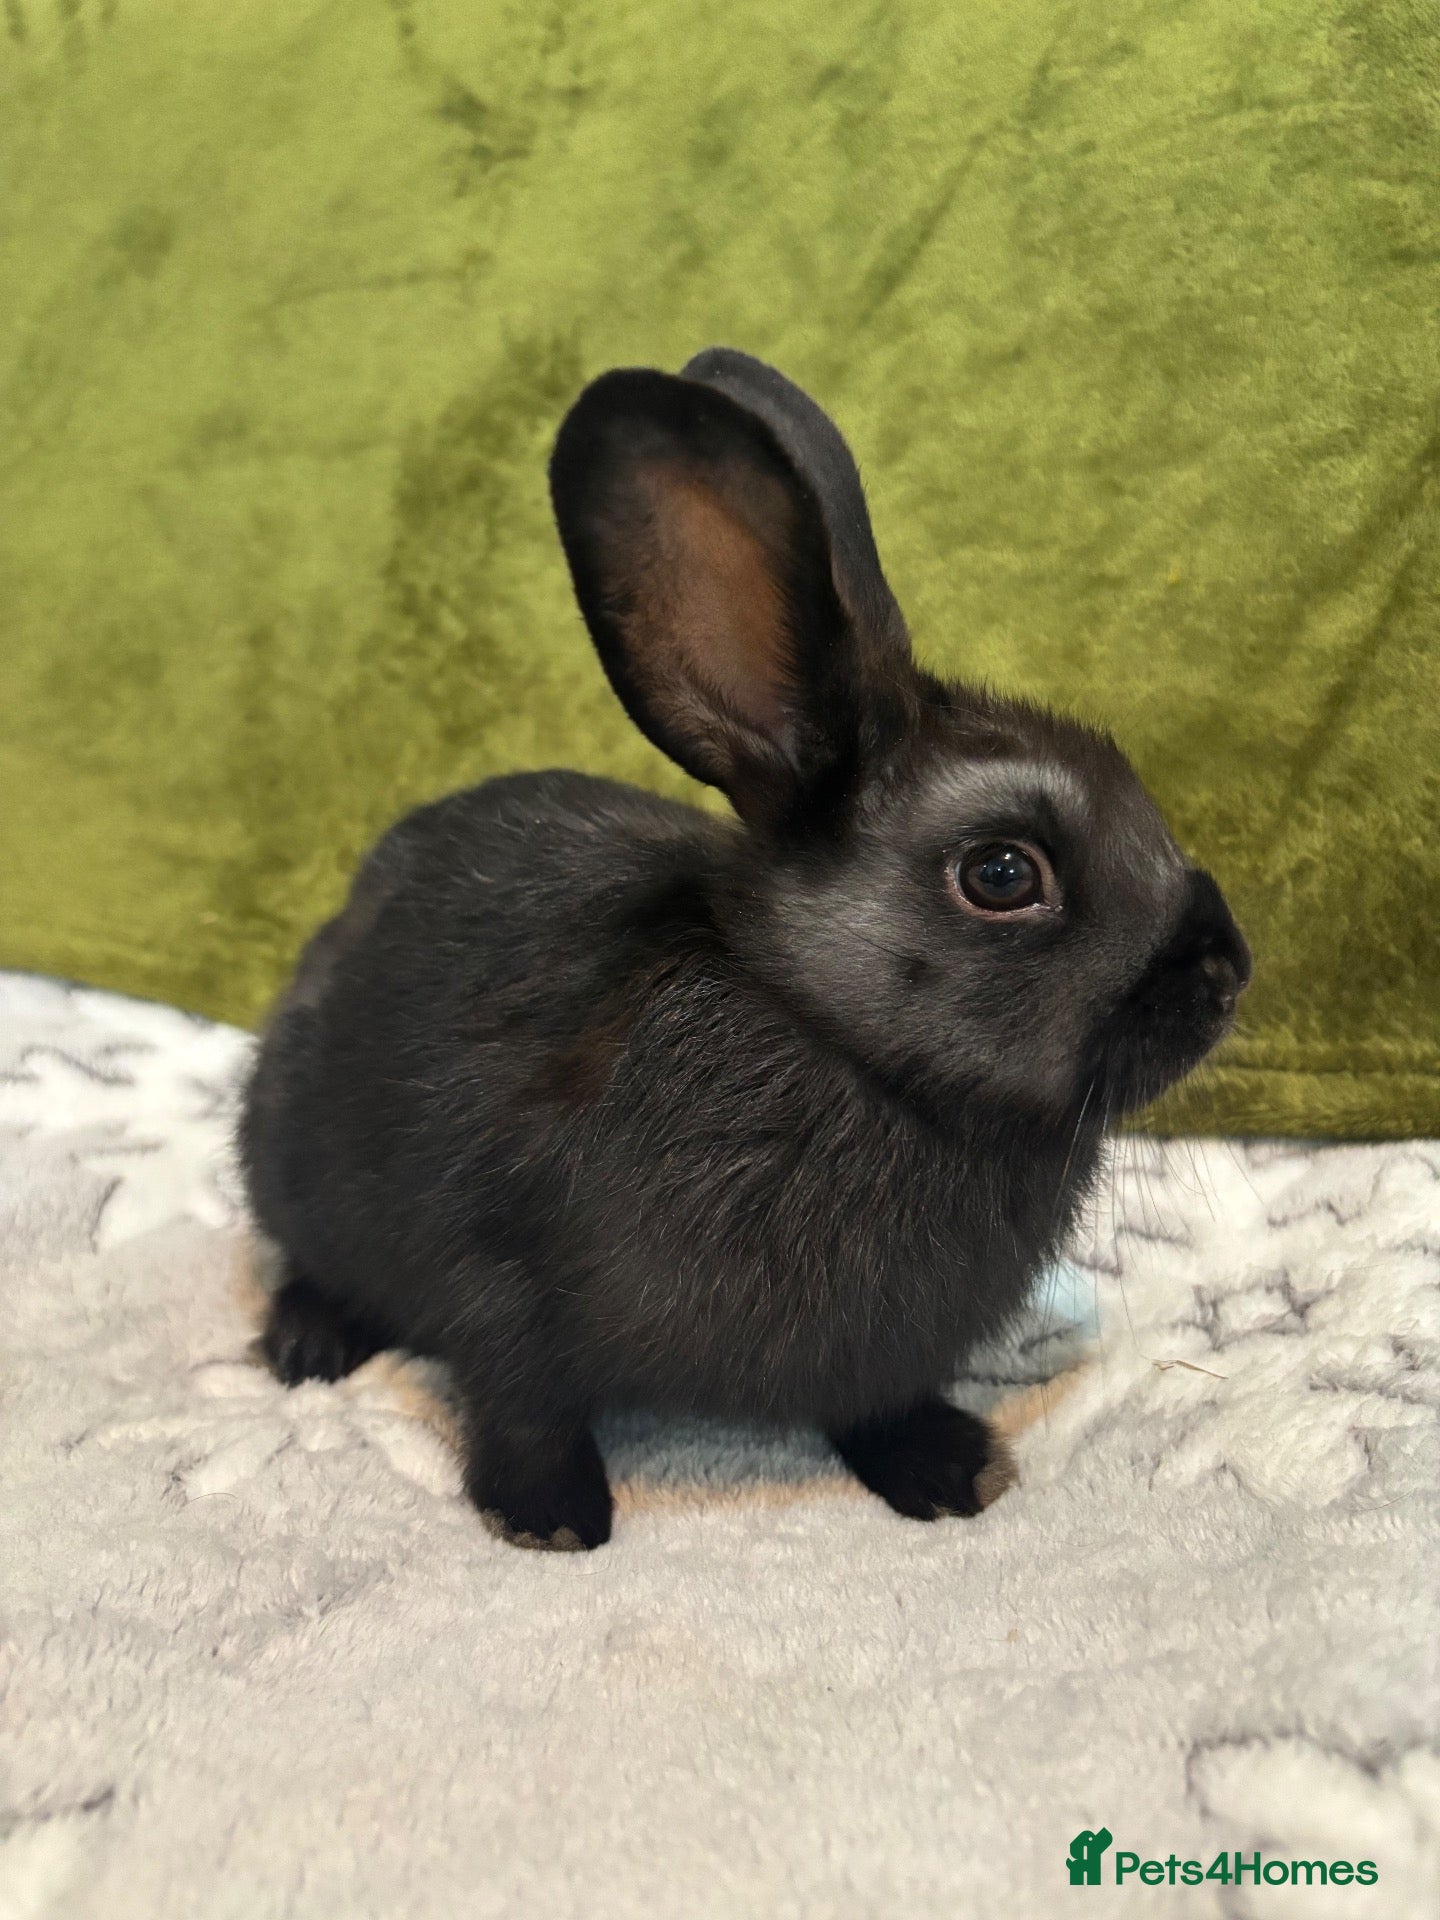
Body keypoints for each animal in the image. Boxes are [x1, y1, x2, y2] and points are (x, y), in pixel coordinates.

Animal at [239, 347, 1251, 1550]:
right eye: (1003, 875)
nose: (1228, 971)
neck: (836, 1040)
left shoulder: (884, 1351)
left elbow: (881, 1403)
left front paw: (951, 1470)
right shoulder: (493, 1278)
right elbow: (520, 1399)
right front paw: (548, 1518)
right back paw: (306, 1346)